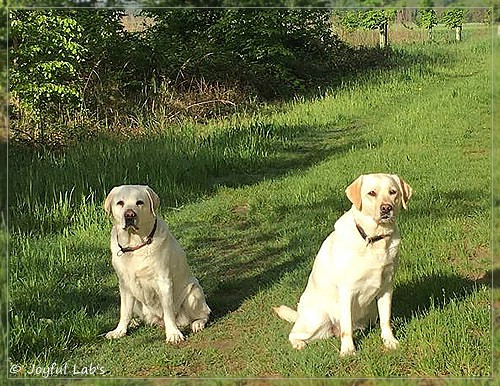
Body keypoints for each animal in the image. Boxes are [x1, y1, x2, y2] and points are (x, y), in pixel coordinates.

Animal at [104, 185, 210, 342]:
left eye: (139, 202)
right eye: (120, 203)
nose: (129, 215)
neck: (135, 245)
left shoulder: (163, 281)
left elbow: (168, 310)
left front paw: (173, 334)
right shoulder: (125, 284)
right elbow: (124, 311)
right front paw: (119, 331)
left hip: (193, 293)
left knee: (204, 314)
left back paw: (197, 324)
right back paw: (135, 322)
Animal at [276, 175, 412, 356]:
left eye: (393, 192)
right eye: (371, 193)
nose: (386, 208)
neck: (373, 240)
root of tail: (299, 315)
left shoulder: (386, 287)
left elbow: (386, 320)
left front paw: (389, 341)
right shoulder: (347, 291)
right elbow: (346, 326)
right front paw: (348, 350)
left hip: (370, 313)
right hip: (319, 318)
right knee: (294, 333)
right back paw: (299, 343)